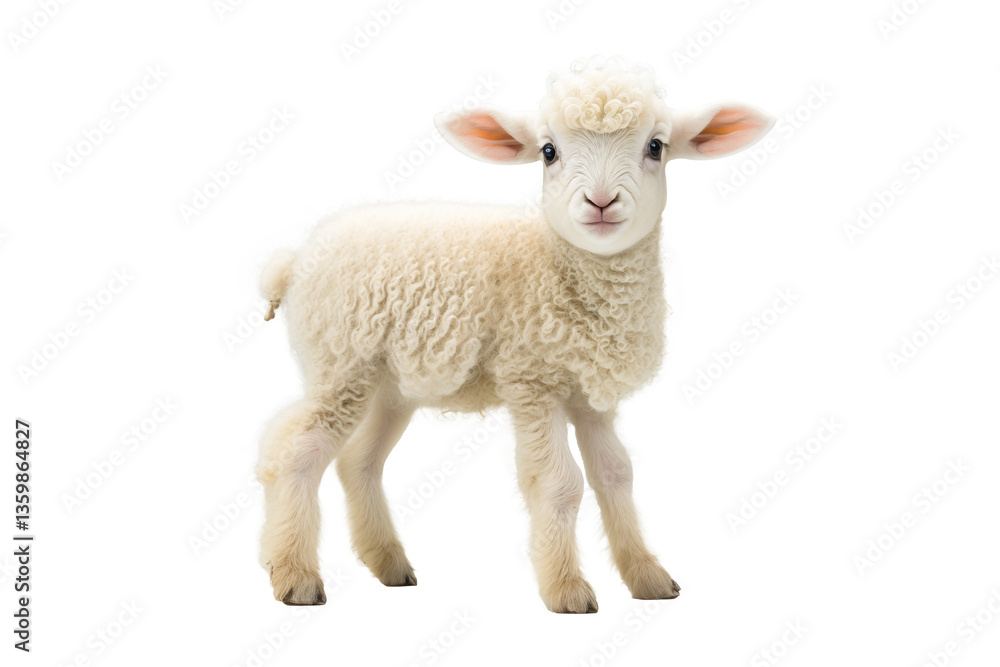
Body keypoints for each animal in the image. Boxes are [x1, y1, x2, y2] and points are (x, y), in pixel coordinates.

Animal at [256, 57, 774, 613]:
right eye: (548, 152)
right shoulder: (533, 380)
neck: (555, 264)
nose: (601, 201)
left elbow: (616, 474)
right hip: (340, 362)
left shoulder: (590, 395)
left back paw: (387, 564)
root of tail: (295, 262)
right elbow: (559, 482)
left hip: (391, 385)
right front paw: (566, 588)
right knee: (295, 448)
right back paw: (293, 573)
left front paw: (648, 577)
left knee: (358, 461)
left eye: (656, 146)